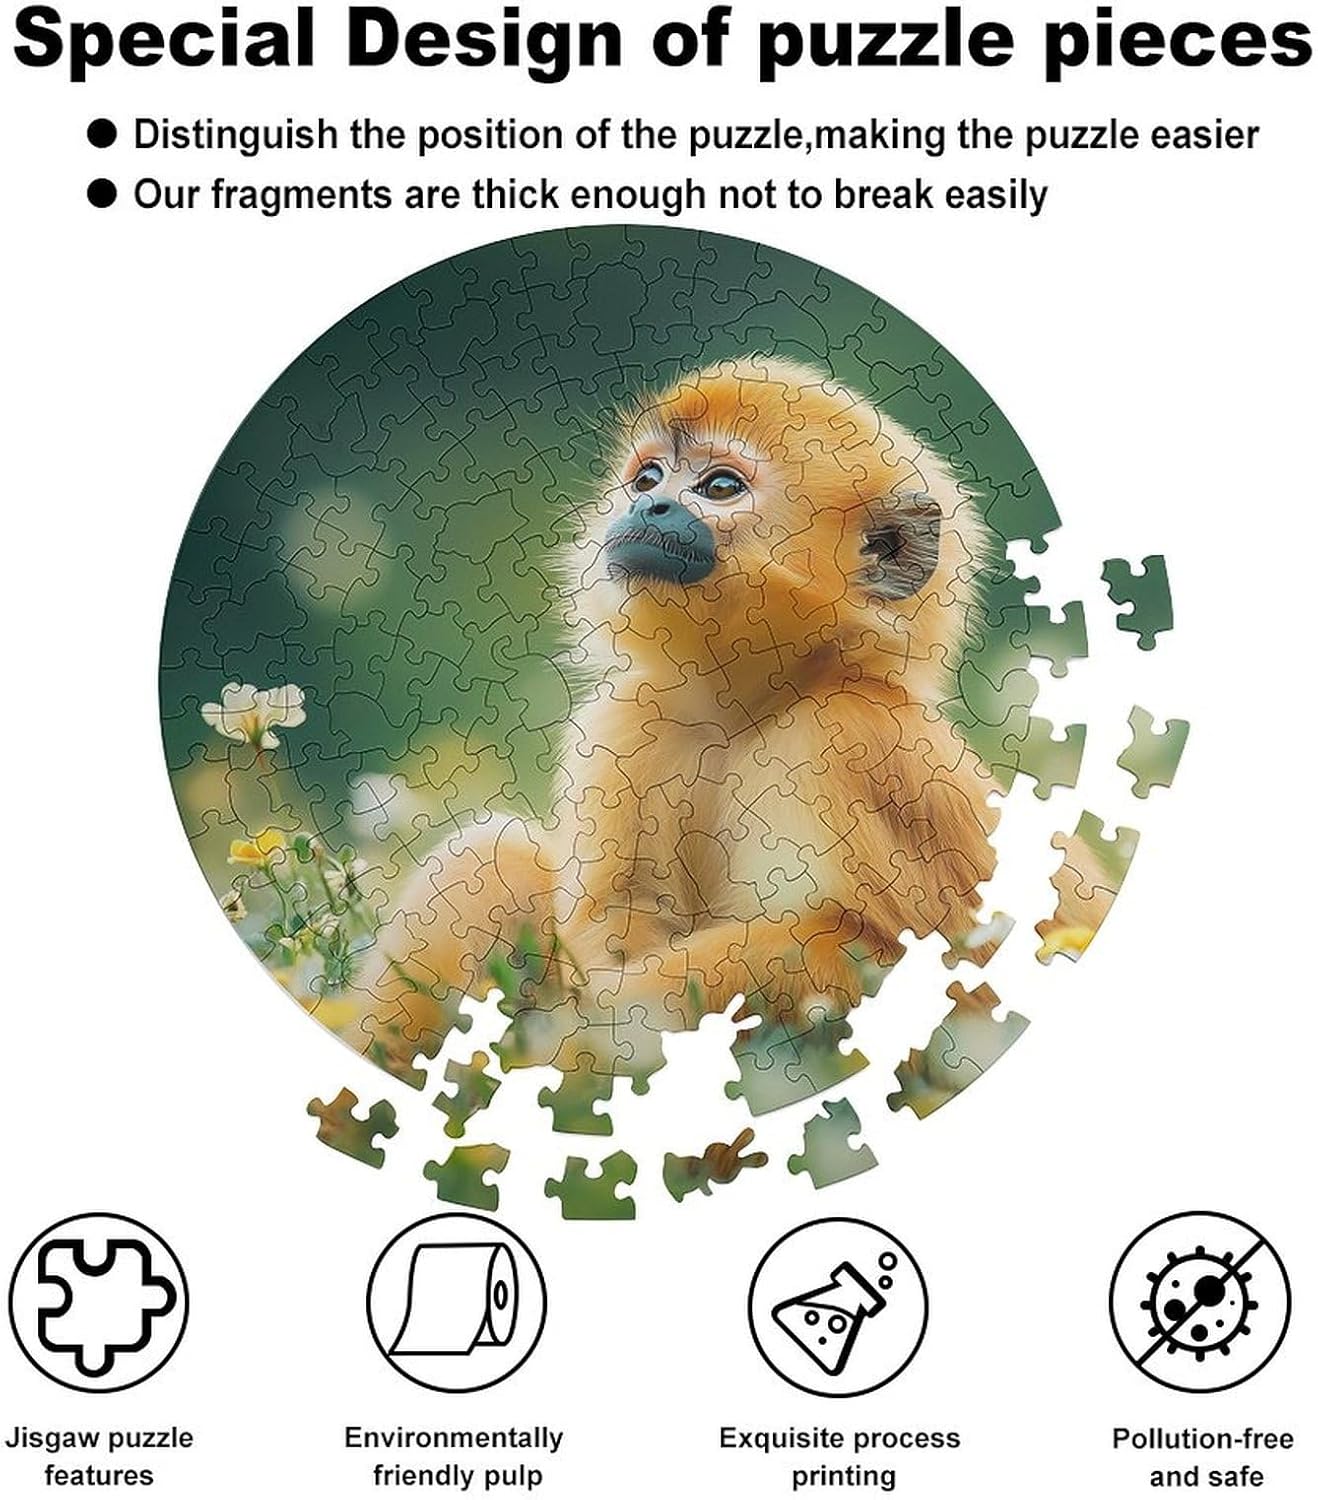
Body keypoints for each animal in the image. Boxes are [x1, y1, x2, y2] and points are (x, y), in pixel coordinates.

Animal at [344, 357, 999, 1075]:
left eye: (719, 487)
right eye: (649, 478)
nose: (644, 506)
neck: (750, 713)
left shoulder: (850, 738)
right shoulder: (630, 721)